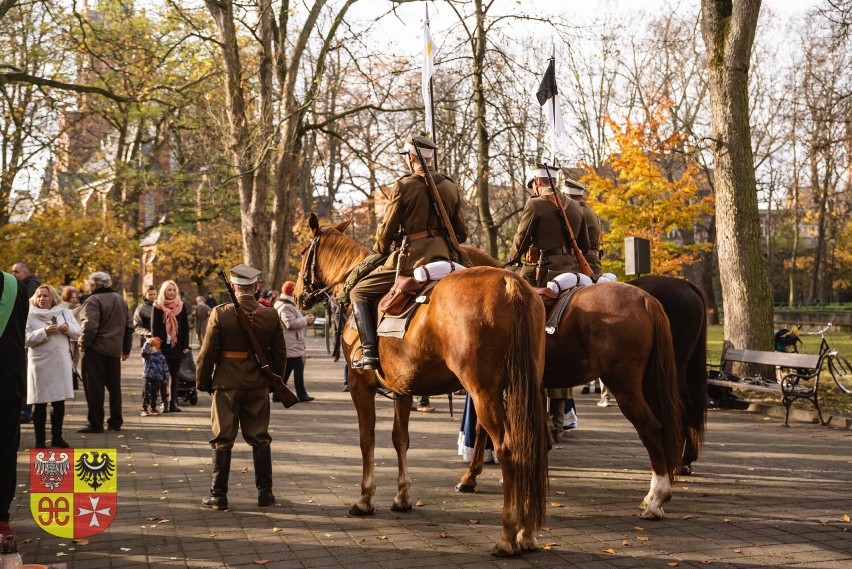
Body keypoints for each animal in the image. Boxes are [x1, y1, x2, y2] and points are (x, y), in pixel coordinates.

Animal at [296, 214, 548, 556]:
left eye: (303, 253)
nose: (298, 295)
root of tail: (510, 284)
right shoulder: (402, 389)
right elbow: (400, 439)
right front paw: (402, 497)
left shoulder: (361, 387)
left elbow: (367, 440)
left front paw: (364, 498)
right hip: (522, 389)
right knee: (527, 446)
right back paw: (527, 533)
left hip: (484, 392)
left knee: (508, 449)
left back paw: (508, 535)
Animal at [460, 245, 684, 520]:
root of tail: (644, 298)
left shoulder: (490, 386)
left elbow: (483, 427)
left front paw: (470, 477)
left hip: (624, 387)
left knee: (651, 428)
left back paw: (656, 499)